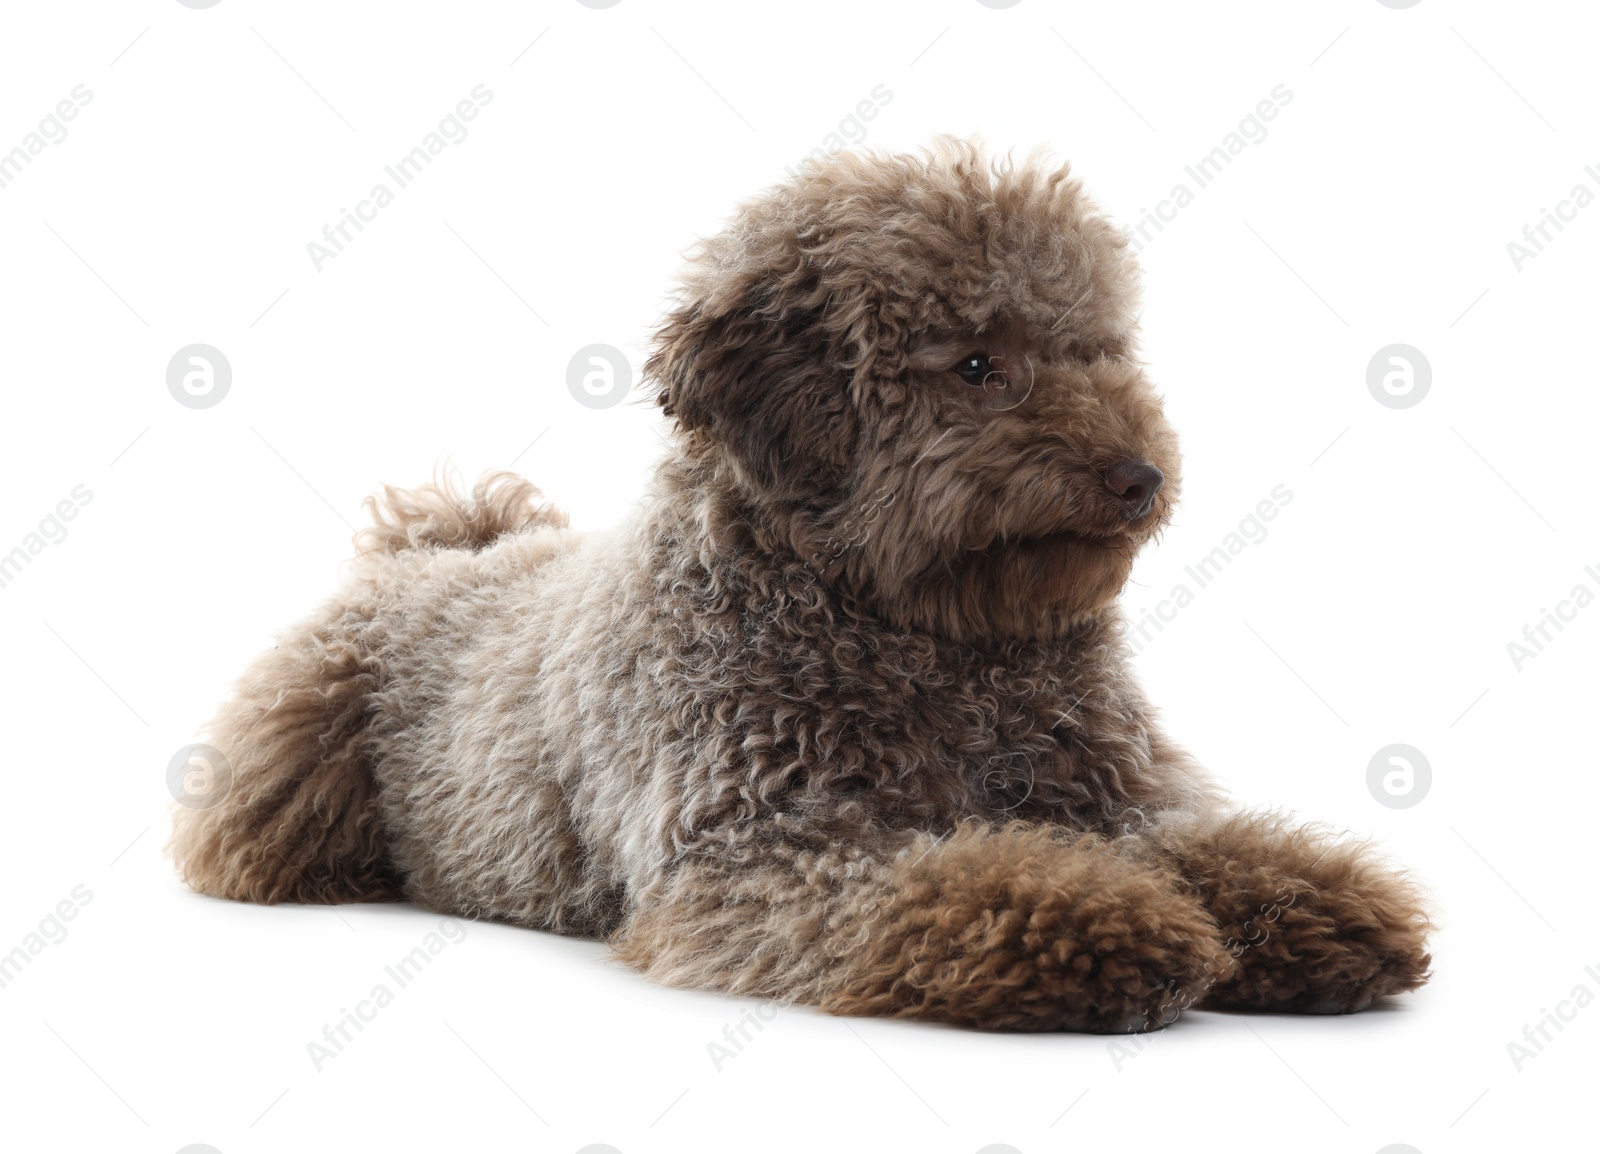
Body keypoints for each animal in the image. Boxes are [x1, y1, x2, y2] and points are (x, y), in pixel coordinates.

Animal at [168, 139, 1433, 1030]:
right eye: (976, 364)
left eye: (1097, 350)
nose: (1140, 476)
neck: (930, 639)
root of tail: (440, 545)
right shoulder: (761, 853)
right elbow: (962, 881)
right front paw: (1118, 932)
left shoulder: (1115, 796)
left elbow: (1207, 839)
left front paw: (1312, 902)